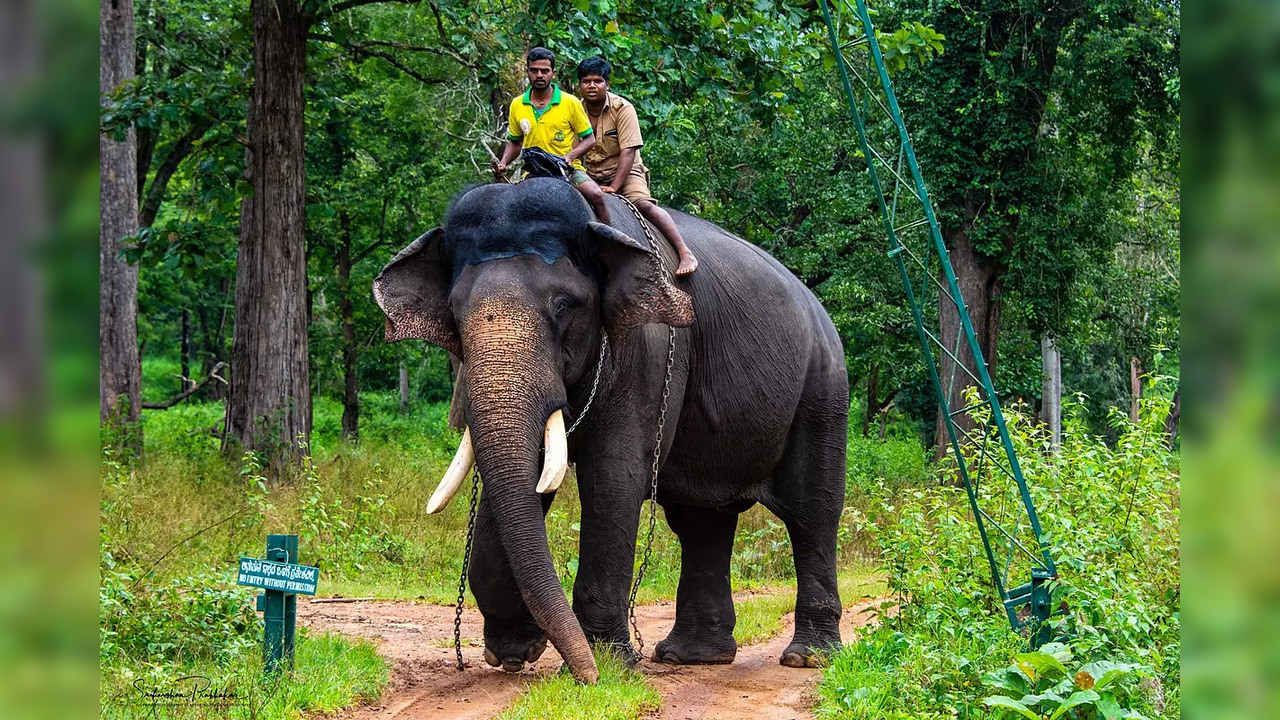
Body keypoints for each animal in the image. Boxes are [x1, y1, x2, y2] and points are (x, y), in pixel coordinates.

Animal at [373, 176, 849, 681]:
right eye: (454, 313)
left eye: (564, 305)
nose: (586, 674)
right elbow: (528, 479)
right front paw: (513, 655)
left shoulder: (649, 348)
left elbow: (612, 477)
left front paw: (606, 665)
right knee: (702, 519)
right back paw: (690, 656)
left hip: (822, 390)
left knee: (812, 512)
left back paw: (808, 657)